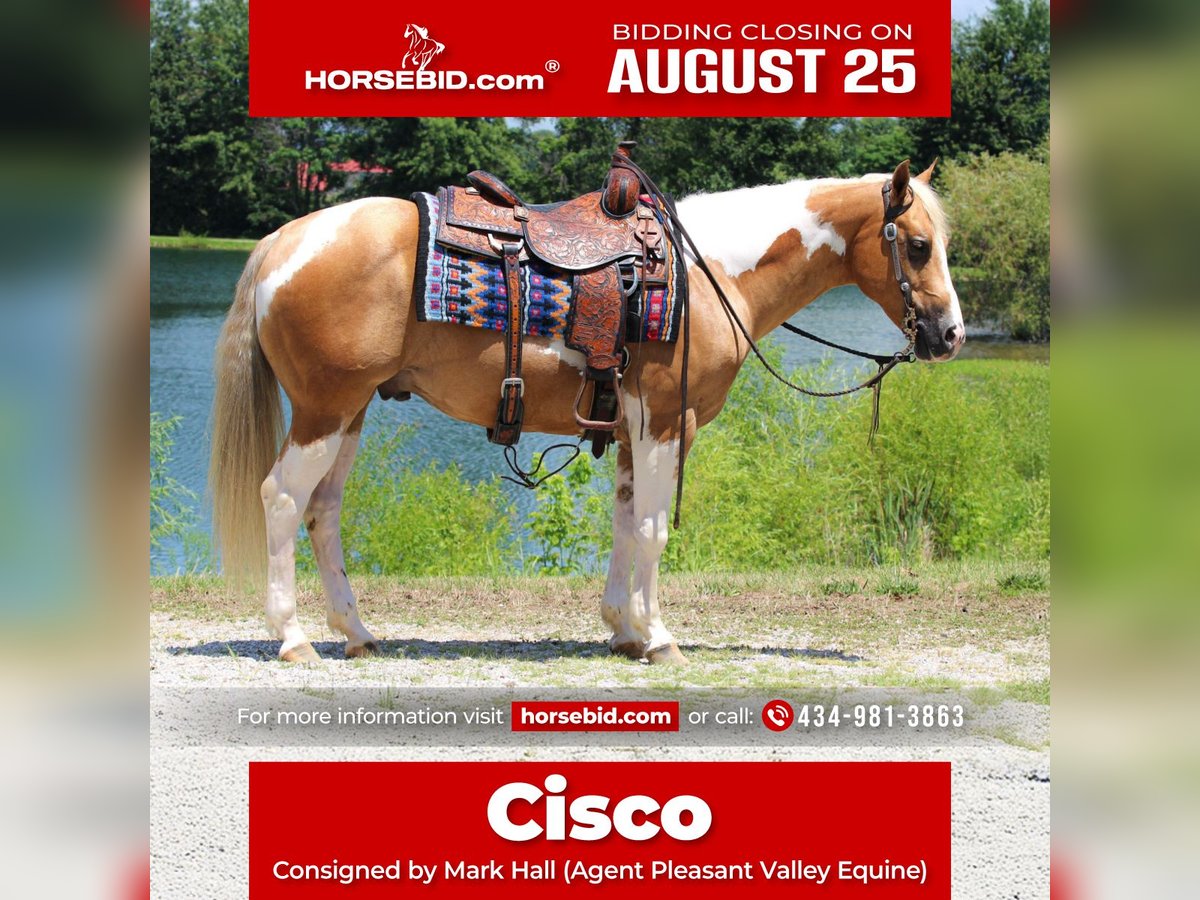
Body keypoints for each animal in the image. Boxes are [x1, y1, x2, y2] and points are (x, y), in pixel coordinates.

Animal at [208, 159, 963, 665]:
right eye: (918, 245)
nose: (951, 335)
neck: (711, 275)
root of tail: (285, 240)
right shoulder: (665, 422)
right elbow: (654, 531)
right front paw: (659, 640)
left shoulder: (633, 431)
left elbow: (626, 526)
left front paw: (624, 630)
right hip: (324, 409)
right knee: (282, 499)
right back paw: (293, 638)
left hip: (350, 413)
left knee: (323, 510)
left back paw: (358, 634)